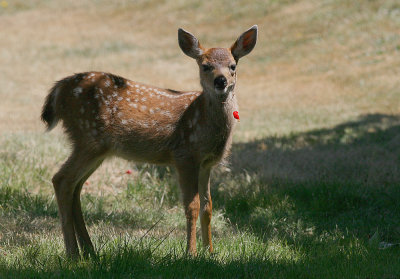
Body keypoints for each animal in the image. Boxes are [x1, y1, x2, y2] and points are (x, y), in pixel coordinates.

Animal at [41, 25, 260, 260]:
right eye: (206, 66)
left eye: (233, 66)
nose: (221, 81)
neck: (203, 121)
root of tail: (57, 91)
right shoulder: (184, 155)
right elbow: (192, 206)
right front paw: (191, 252)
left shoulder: (206, 163)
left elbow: (208, 206)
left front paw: (210, 252)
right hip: (88, 137)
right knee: (62, 179)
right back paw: (73, 253)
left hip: (95, 148)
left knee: (76, 186)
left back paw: (89, 249)